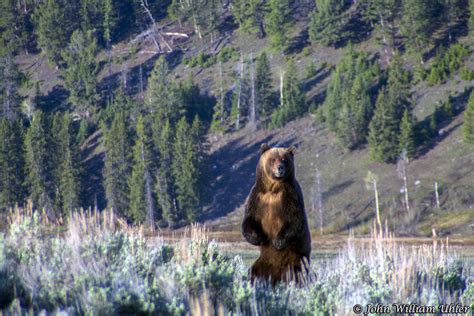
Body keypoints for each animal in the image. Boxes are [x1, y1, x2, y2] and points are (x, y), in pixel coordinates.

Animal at [241, 144, 312, 286]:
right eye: (273, 159)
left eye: (284, 159)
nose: (280, 168)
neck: (273, 188)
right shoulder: (257, 197)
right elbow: (249, 219)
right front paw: (259, 238)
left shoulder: (291, 196)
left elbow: (295, 220)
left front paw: (277, 241)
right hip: (263, 262)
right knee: (253, 273)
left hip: (295, 261)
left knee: (297, 276)